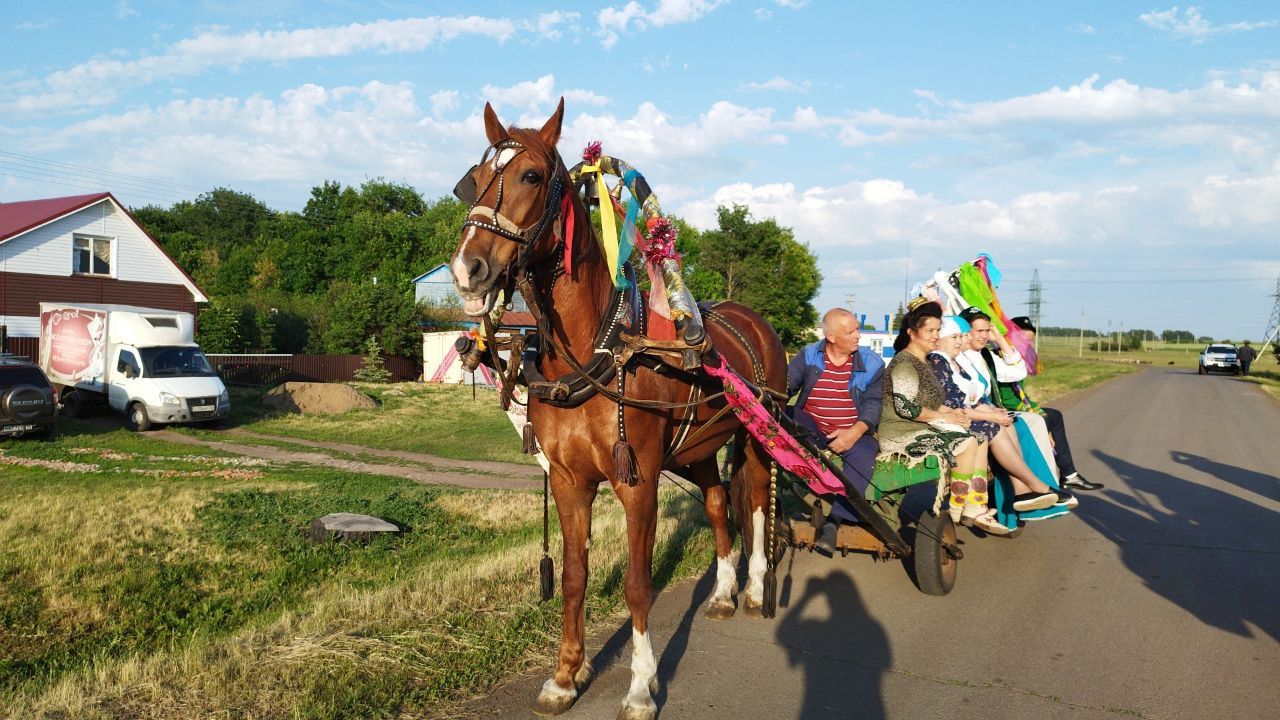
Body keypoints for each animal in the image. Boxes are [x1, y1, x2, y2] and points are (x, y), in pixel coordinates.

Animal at [450, 101, 788, 717]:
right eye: (475, 178)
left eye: (530, 176)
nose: (468, 268)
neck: (595, 352)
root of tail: (754, 320)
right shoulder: (569, 481)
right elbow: (575, 576)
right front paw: (565, 675)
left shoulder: (638, 481)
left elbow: (637, 584)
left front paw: (639, 685)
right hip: (696, 448)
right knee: (717, 504)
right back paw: (723, 592)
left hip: (757, 433)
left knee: (753, 500)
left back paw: (753, 588)